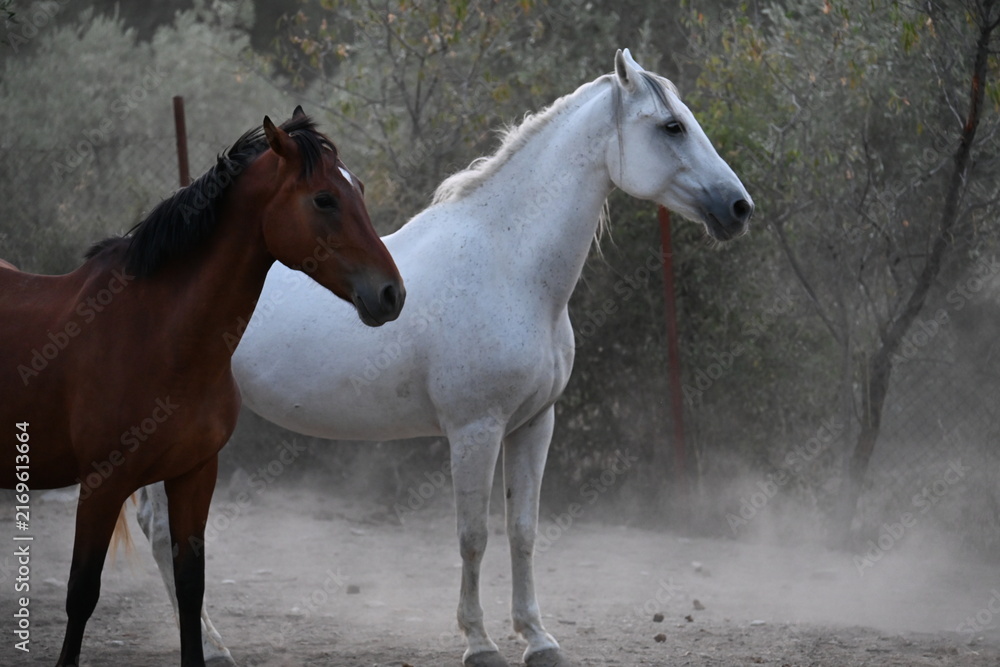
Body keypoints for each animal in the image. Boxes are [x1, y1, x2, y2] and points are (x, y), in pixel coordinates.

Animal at [0, 108, 404, 666]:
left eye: (359, 189)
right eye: (324, 198)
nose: (392, 294)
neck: (159, 336)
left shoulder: (194, 475)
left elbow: (191, 587)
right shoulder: (103, 483)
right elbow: (82, 592)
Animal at [138, 49, 752, 667]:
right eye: (671, 126)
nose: (739, 207)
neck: (510, 265)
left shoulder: (534, 424)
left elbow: (523, 531)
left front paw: (538, 638)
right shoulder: (475, 429)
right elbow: (473, 535)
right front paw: (479, 642)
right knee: (168, 534)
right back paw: (213, 648)